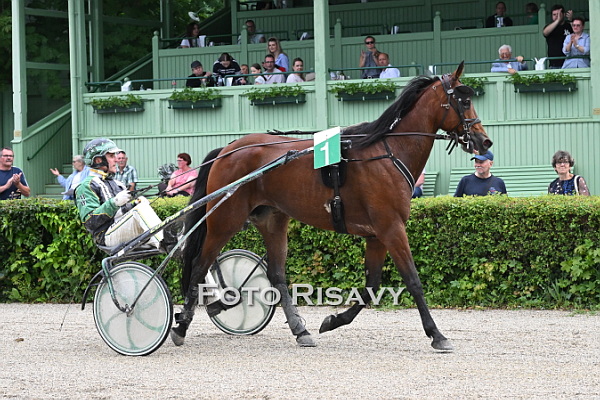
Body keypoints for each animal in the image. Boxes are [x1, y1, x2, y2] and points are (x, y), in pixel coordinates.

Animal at [172, 62, 492, 350]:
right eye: (465, 101)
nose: (484, 140)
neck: (388, 153)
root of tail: (227, 149)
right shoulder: (391, 228)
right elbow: (412, 280)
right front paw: (437, 334)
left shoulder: (377, 235)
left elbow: (371, 286)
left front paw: (333, 320)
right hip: (225, 219)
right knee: (199, 265)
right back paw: (181, 326)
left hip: (272, 220)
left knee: (276, 275)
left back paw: (300, 331)